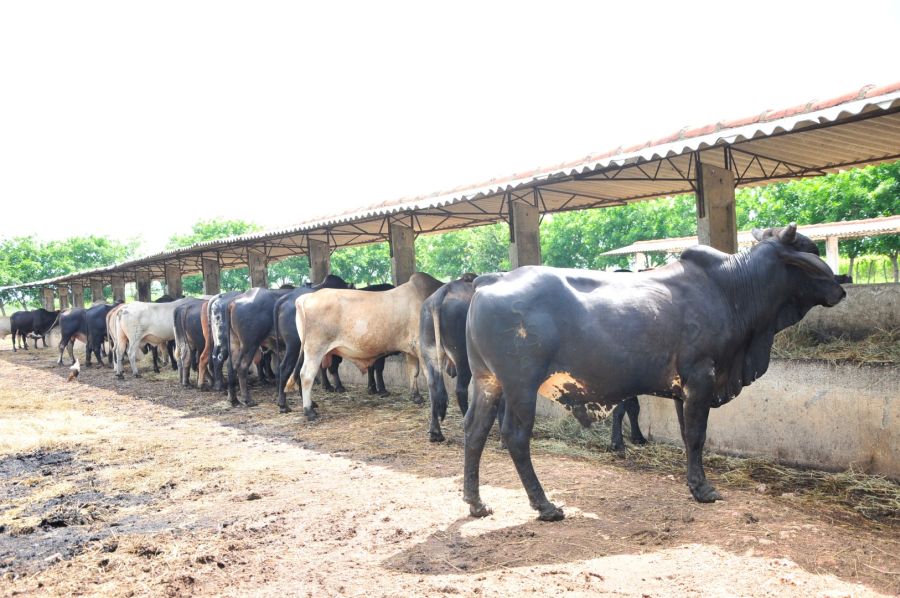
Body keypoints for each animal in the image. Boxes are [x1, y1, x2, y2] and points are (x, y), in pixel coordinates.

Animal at [288, 274, 442, 422]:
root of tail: (305, 298)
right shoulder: (422, 347)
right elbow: (428, 374)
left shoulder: (411, 349)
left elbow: (413, 371)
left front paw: (416, 396)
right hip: (315, 349)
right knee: (306, 375)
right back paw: (309, 411)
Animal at [460, 223, 848, 524]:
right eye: (811, 250)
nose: (842, 286)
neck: (732, 290)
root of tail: (489, 281)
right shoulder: (701, 376)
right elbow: (696, 435)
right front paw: (703, 489)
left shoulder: (682, 388)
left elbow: (686, 434)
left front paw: (693, 482)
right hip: (521, 385)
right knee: (515, 437)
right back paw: (544, 505)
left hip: (487, 382)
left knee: (474, 430)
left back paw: (476, 502)